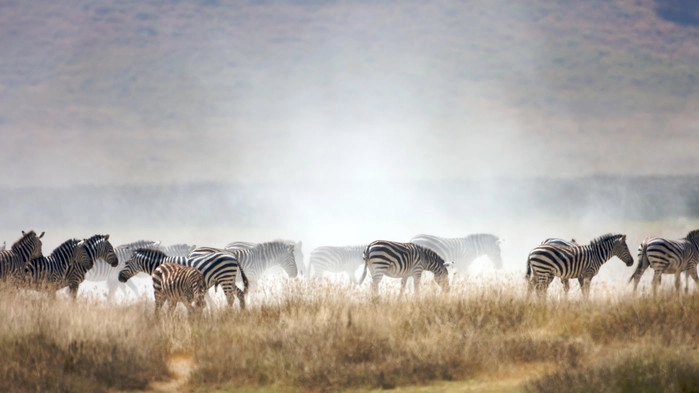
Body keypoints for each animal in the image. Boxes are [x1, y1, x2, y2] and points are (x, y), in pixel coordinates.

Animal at [119, 247, 250, 308]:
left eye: (126, 262)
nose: (119, 277)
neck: (161, 264)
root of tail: (233, 257)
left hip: (225, 278)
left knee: (230, 298)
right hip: (229, 279)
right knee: (240, 294)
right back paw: (241, 314)